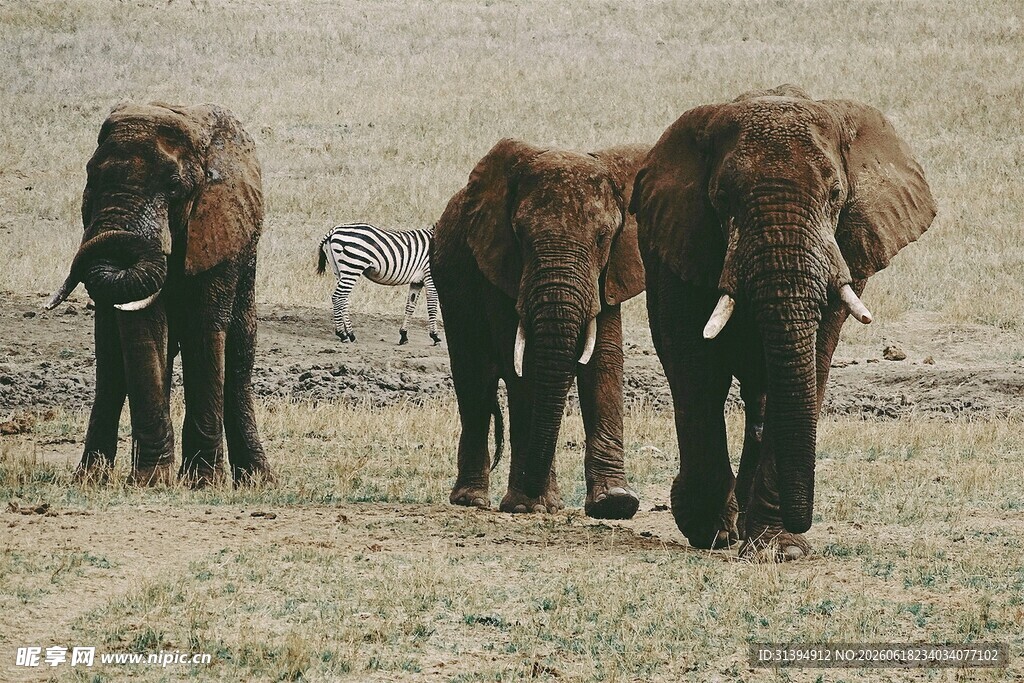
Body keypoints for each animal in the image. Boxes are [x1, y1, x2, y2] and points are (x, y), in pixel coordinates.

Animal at [45, 102, 273, 487]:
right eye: (91, 176)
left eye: (175, 187)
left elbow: (204, 329)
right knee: (111, 359)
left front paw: (201, 483)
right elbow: (147, 329)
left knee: (239, 353)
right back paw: (90, 479)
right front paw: (151, 482)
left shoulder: (219, 228)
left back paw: (257, 481)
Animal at [431, 139, 649, 519]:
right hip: (450, 278)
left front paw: (616, 503)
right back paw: (471, 500)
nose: (535, 496)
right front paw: (528, 506)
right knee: (474, 377)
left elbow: (603, 360)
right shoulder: (501, 266)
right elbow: (525, 363)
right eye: (520, 234)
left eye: (603, 237)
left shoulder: (611, 272)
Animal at [630, 85, 936, 560]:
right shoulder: (683, 243)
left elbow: (813, 361)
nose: (801, 521)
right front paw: (709, 529)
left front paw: (780, 548)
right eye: (722, 199)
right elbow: (697, 366)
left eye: (835, 194)